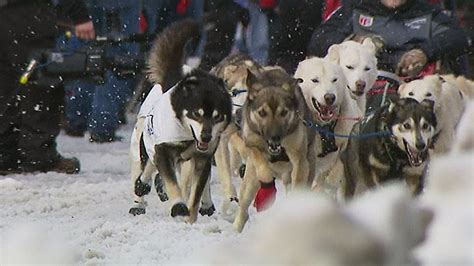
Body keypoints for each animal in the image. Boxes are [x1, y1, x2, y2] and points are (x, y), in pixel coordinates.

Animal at [129, 18, 232, 223]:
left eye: (217, 116)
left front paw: (190, 218)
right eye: (196, 114)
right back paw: (141, 190)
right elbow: (171, 183)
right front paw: (178, 206)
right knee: (147, 170)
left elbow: (196, 192)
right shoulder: (162, 149)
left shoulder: (202, 158)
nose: (206, 137)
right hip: (151, 145)